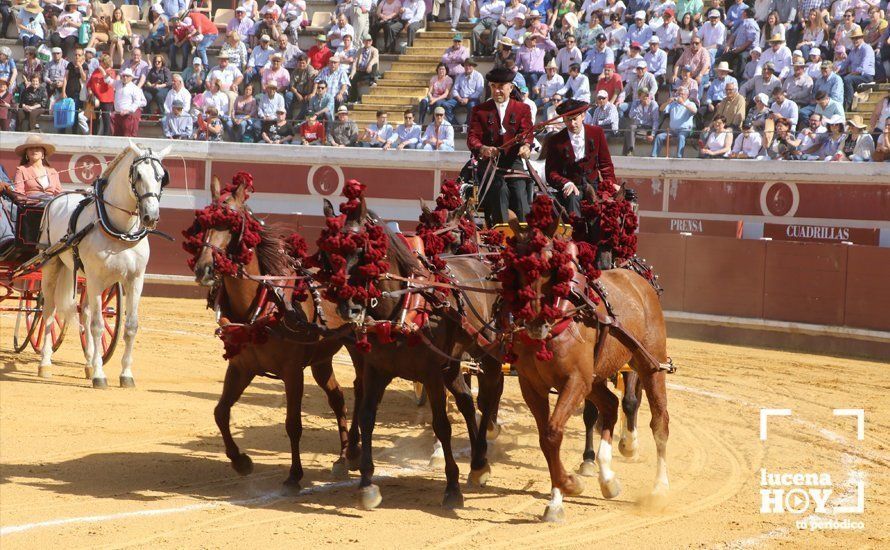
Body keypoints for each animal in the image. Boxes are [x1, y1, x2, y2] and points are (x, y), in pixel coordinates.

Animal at [38, 143, 171, 392]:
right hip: (52, 267)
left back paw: (89, 363)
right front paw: (100, 376)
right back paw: (45, 363)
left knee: (84, 311)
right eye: (138, 175)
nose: (150, 216)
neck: (121, 231)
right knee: (49, 312)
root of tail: (58, 198)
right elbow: (98, 326)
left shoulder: (135, 279)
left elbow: (130, 326)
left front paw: (125, 374)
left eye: (161, 176)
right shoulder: (96, 278)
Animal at [190, 178, 360, 492]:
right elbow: (220, 412)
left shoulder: (292, 372)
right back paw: (342, 458)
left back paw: (353, 452)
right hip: (321, 359)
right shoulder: (240, 367)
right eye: (202, 223)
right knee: (338, 396)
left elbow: (293, 423)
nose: (203, 268)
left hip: (358, 347)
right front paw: (241, 462)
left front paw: (294, 475)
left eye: (232, 222)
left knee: (361, 389)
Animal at [318, 196, 500, 512]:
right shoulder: (376, 368)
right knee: (466, 399)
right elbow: (367, 416)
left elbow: (442, 425)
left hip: (483, 348)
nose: (348, 307)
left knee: (488, 394)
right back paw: (478, 463)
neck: (401, 309)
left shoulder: (430, 373)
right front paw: (366, 483)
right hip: (451, 363)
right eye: (329, 253)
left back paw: (480, 456)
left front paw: (451, 487)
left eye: (361, 250)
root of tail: (480, 261)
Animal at [502, 218, 668, 524]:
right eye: (516, 266)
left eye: (550, 267)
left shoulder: (575, 381)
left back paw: (660, 488)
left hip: (650, 364)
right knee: (610, 405)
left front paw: (570, 484)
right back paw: (607, 478)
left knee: (658, 421)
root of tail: (638, 280)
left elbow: (553, 433)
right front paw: (557, 500)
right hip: (596, 378)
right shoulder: (532, 386)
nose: (534, 322)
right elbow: (546, 439)